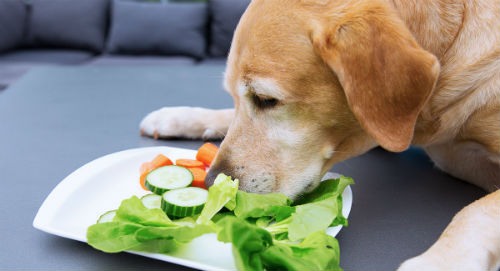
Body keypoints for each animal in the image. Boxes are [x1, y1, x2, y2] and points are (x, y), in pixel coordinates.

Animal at [141, 1, 500, 270]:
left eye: (266, 99)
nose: (213, 181)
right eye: (233, 95)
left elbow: (476, 210)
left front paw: (439, 261)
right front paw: (183, 116)